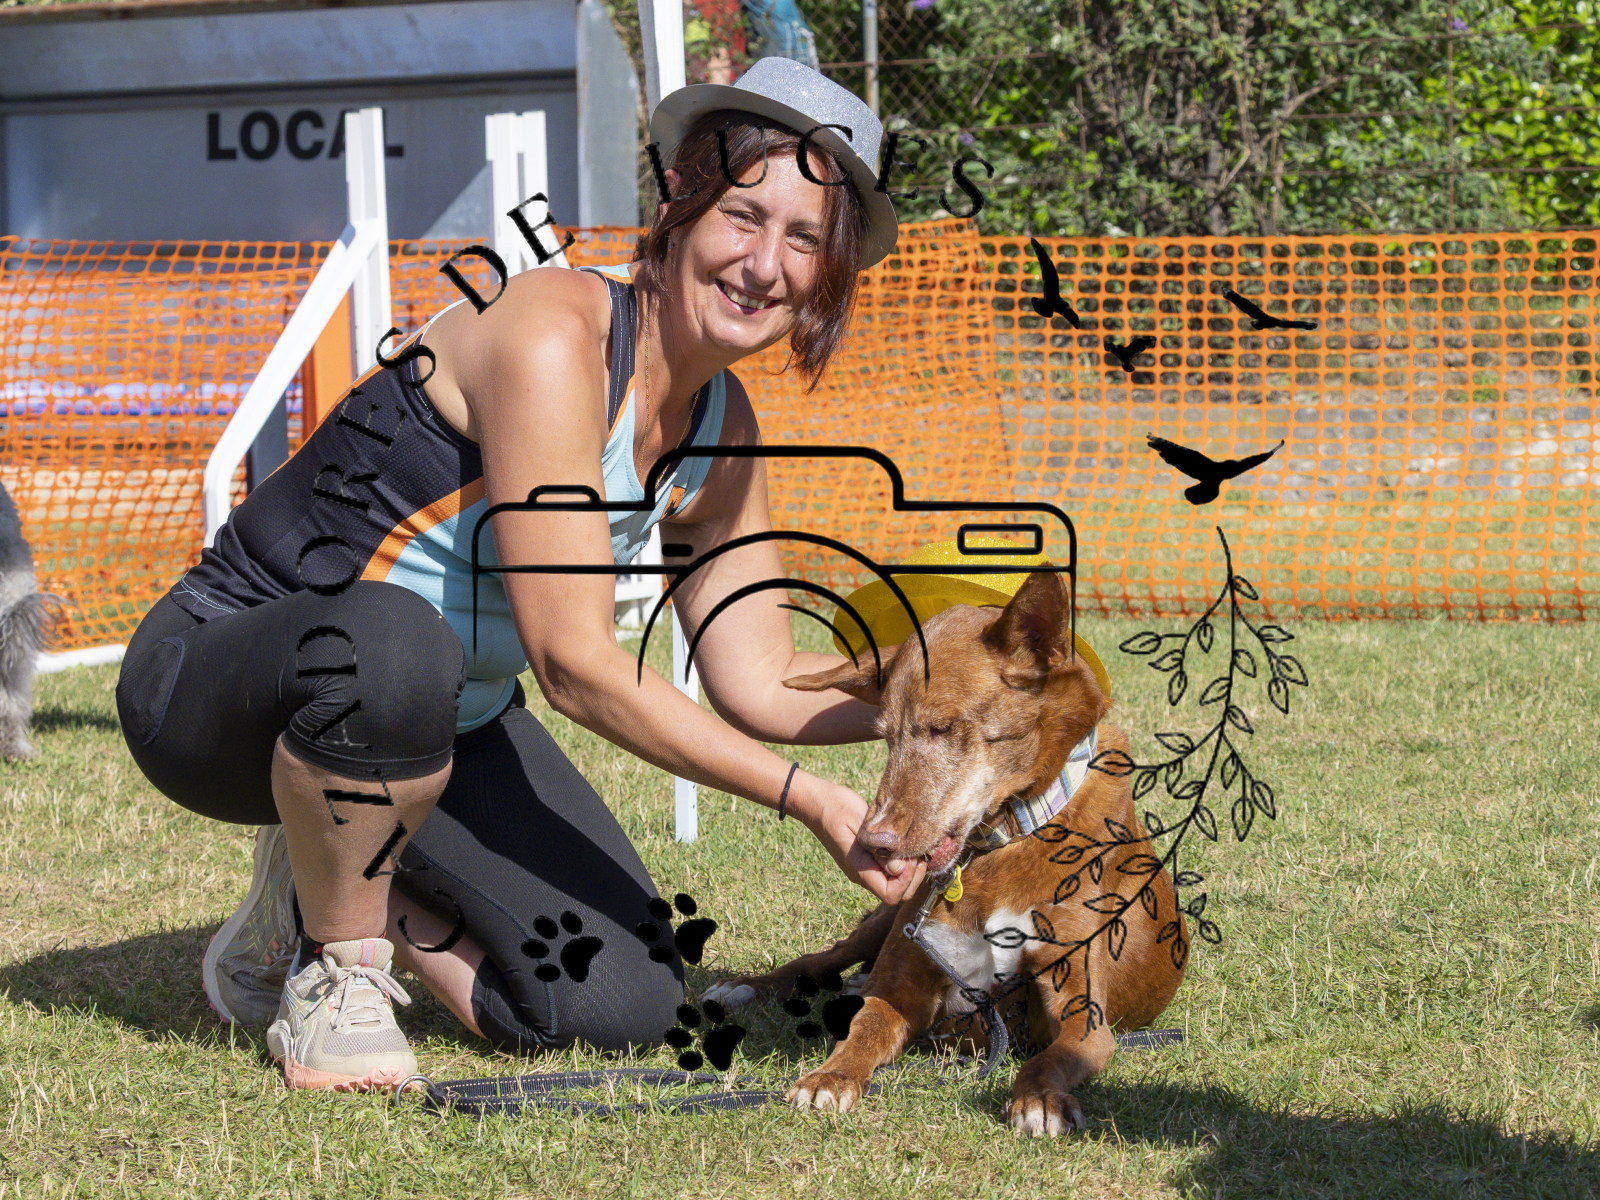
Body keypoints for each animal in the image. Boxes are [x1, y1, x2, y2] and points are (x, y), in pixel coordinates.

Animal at [706, 570, 1185, 1136]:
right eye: (885, 736)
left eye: (942, 727)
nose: (873, 843)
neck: (1001, 843)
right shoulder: (902, 986)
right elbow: (864, 1029)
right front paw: (830, 1077)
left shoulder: (1083, 1015)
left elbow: (1052, 1058)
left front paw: (1040, 1100)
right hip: (884, 920)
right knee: (824, 958)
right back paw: (742, 987)